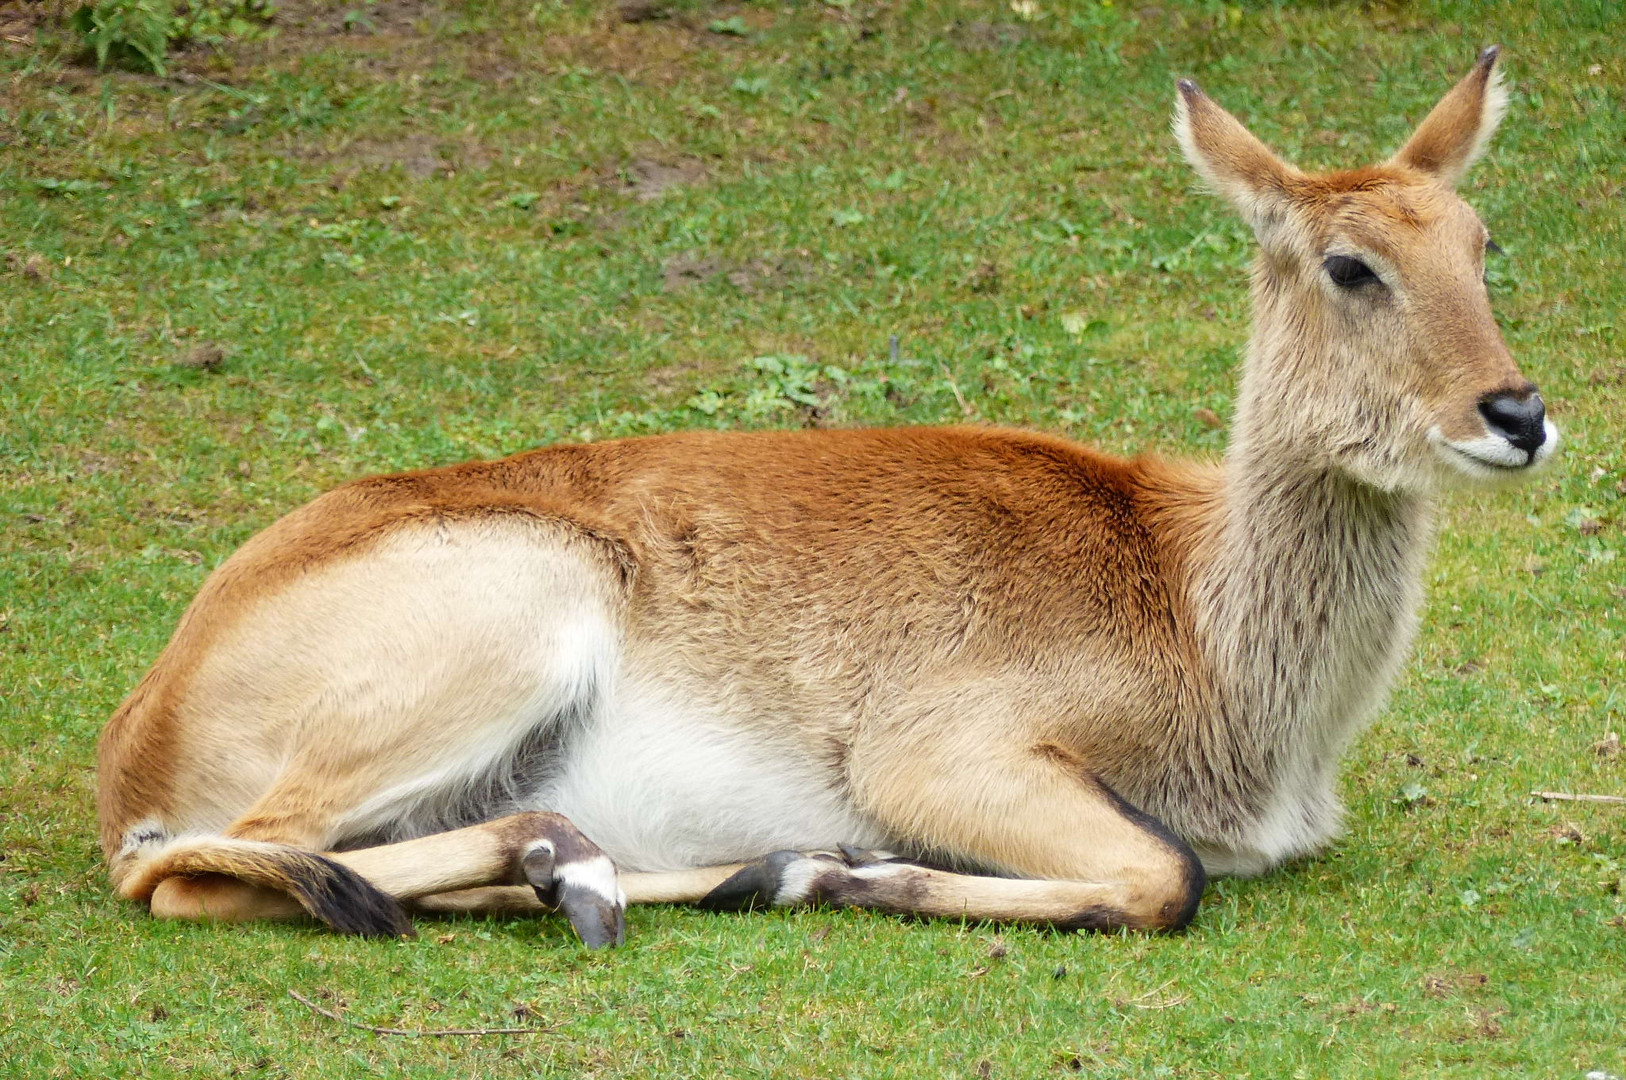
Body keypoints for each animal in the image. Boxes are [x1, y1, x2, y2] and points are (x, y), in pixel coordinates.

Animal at [98, 50, 1547, 943]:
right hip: (507, 621)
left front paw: (806, 869)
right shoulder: (933, 749)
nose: (1517, 412)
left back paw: (607, 873)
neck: (1201, 621)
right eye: (1349, 263)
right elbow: (1161, 874)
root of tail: (141, 731)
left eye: (1481, 244)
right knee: (189, 870)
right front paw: (857, 870)